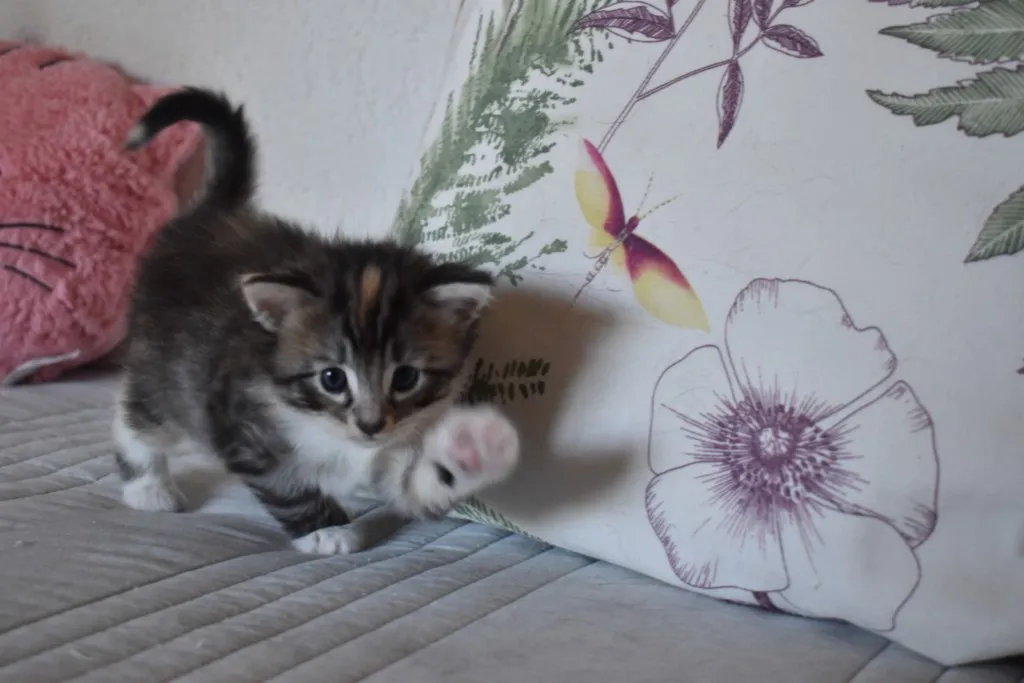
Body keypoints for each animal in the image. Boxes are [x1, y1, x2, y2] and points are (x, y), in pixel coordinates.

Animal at [113, 87, 520, 555]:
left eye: (405, 378)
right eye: (332, 378)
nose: (370, 424)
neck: (336, 436)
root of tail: (212, 215)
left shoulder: (394, 449)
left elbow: (416, 486)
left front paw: (476, 446)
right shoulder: (240, 422)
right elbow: (285, 484)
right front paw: (325, 529)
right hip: (163, 367)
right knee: (136, 415)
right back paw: (147, 485)